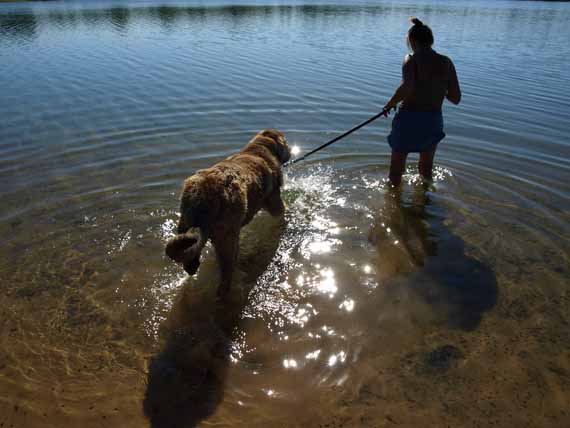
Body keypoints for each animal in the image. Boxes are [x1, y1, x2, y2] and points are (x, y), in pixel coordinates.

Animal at [163, 129, 288, 296]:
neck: (259, 150)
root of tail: (202, 193)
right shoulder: (275, 201)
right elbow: (282, 211)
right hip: (227, 235)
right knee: (226, 270)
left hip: (187, 223)